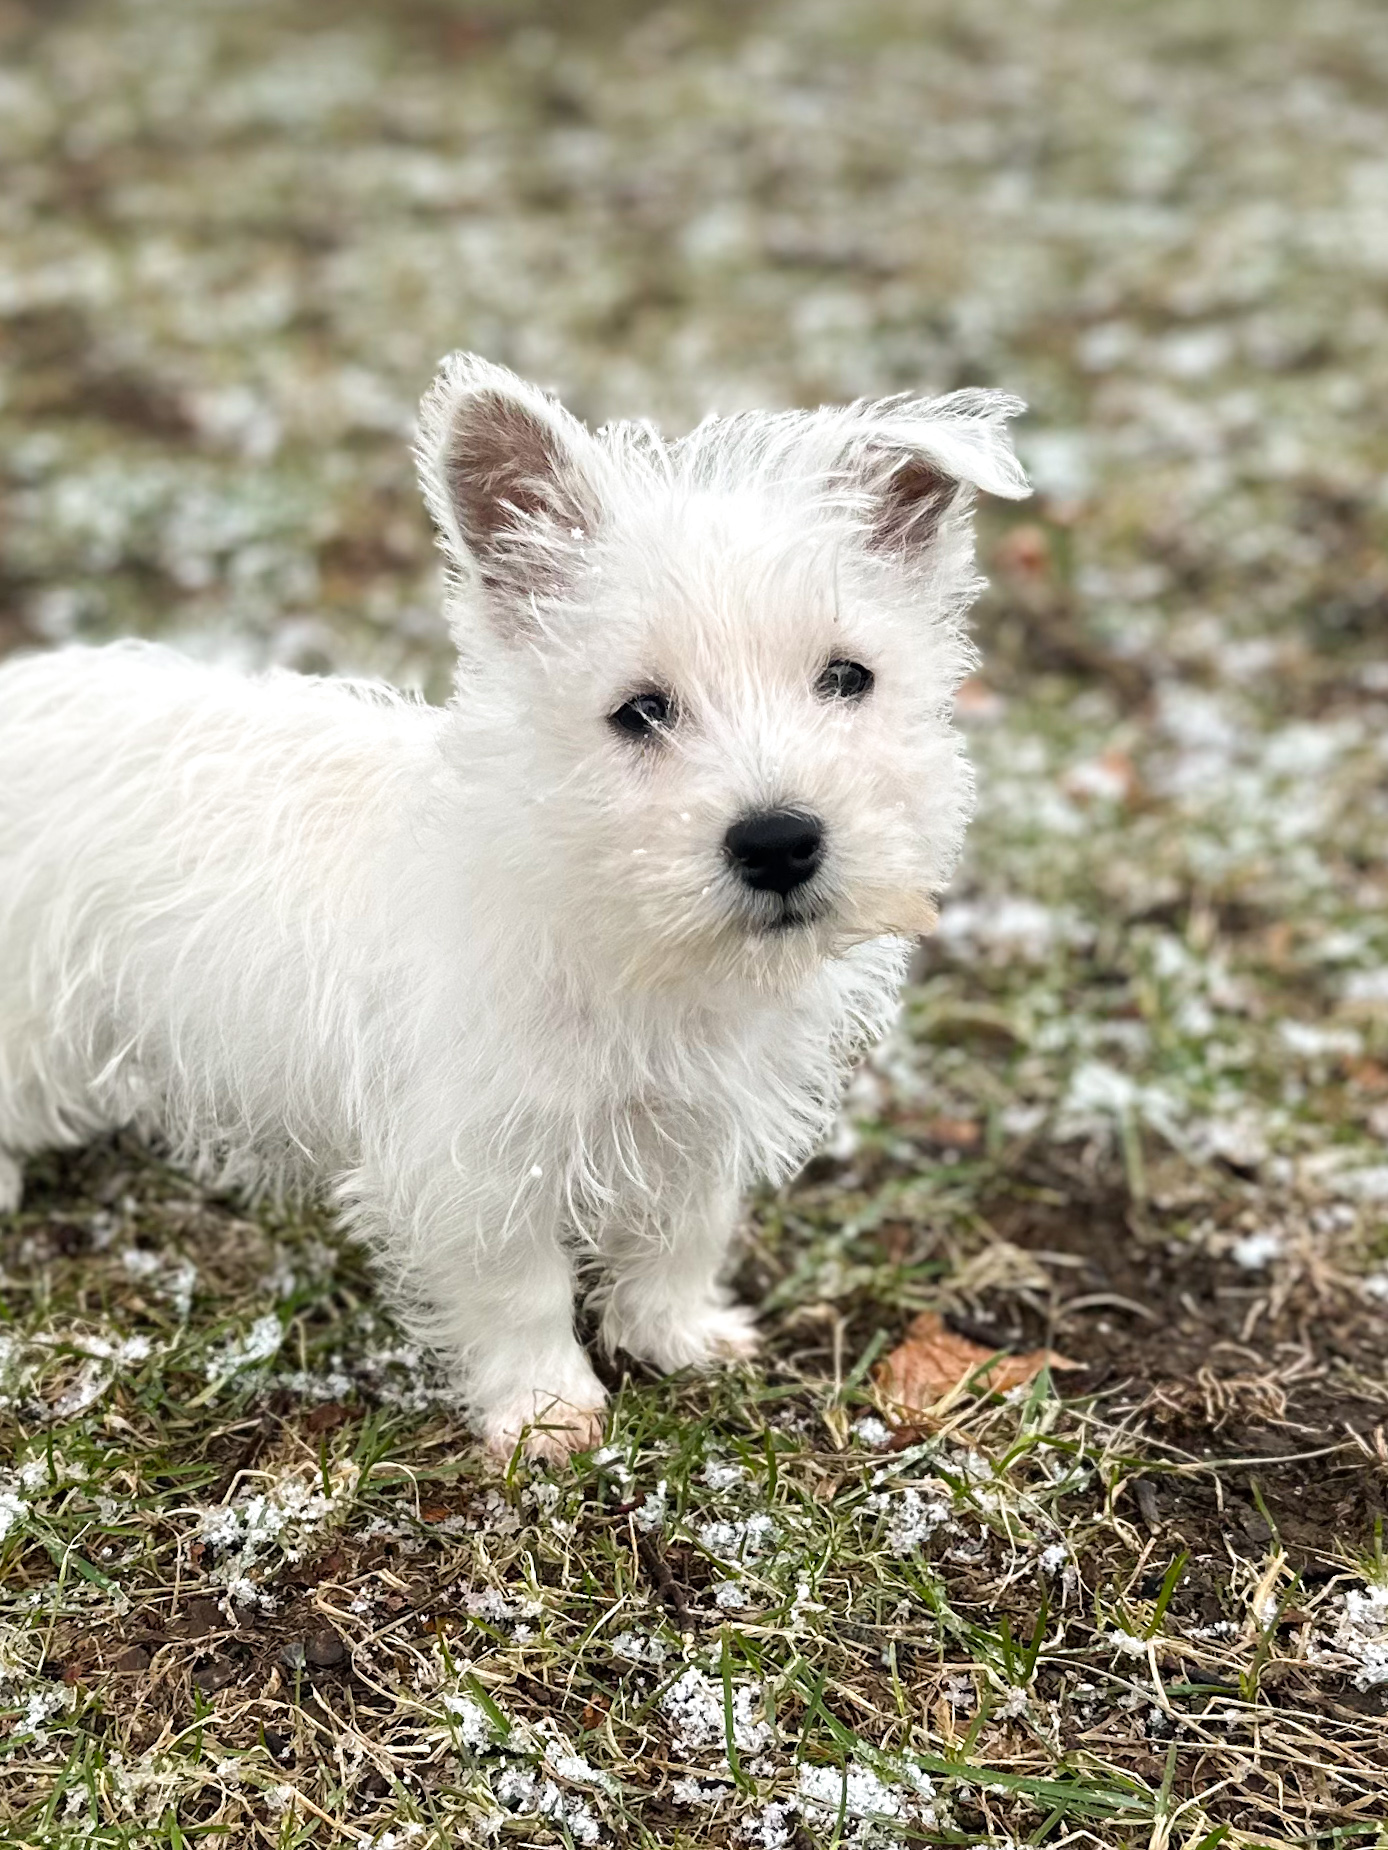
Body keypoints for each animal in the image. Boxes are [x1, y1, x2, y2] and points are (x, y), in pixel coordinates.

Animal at [0, 353, 1021, 1457]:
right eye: (638, 710)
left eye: (846, 676)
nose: (778, 841)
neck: (629, 939)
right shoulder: (479, 1159)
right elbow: (518, 1288)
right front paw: (546, 1412)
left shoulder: (694, 1126)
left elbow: (679, 1237)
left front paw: (678, 1337)